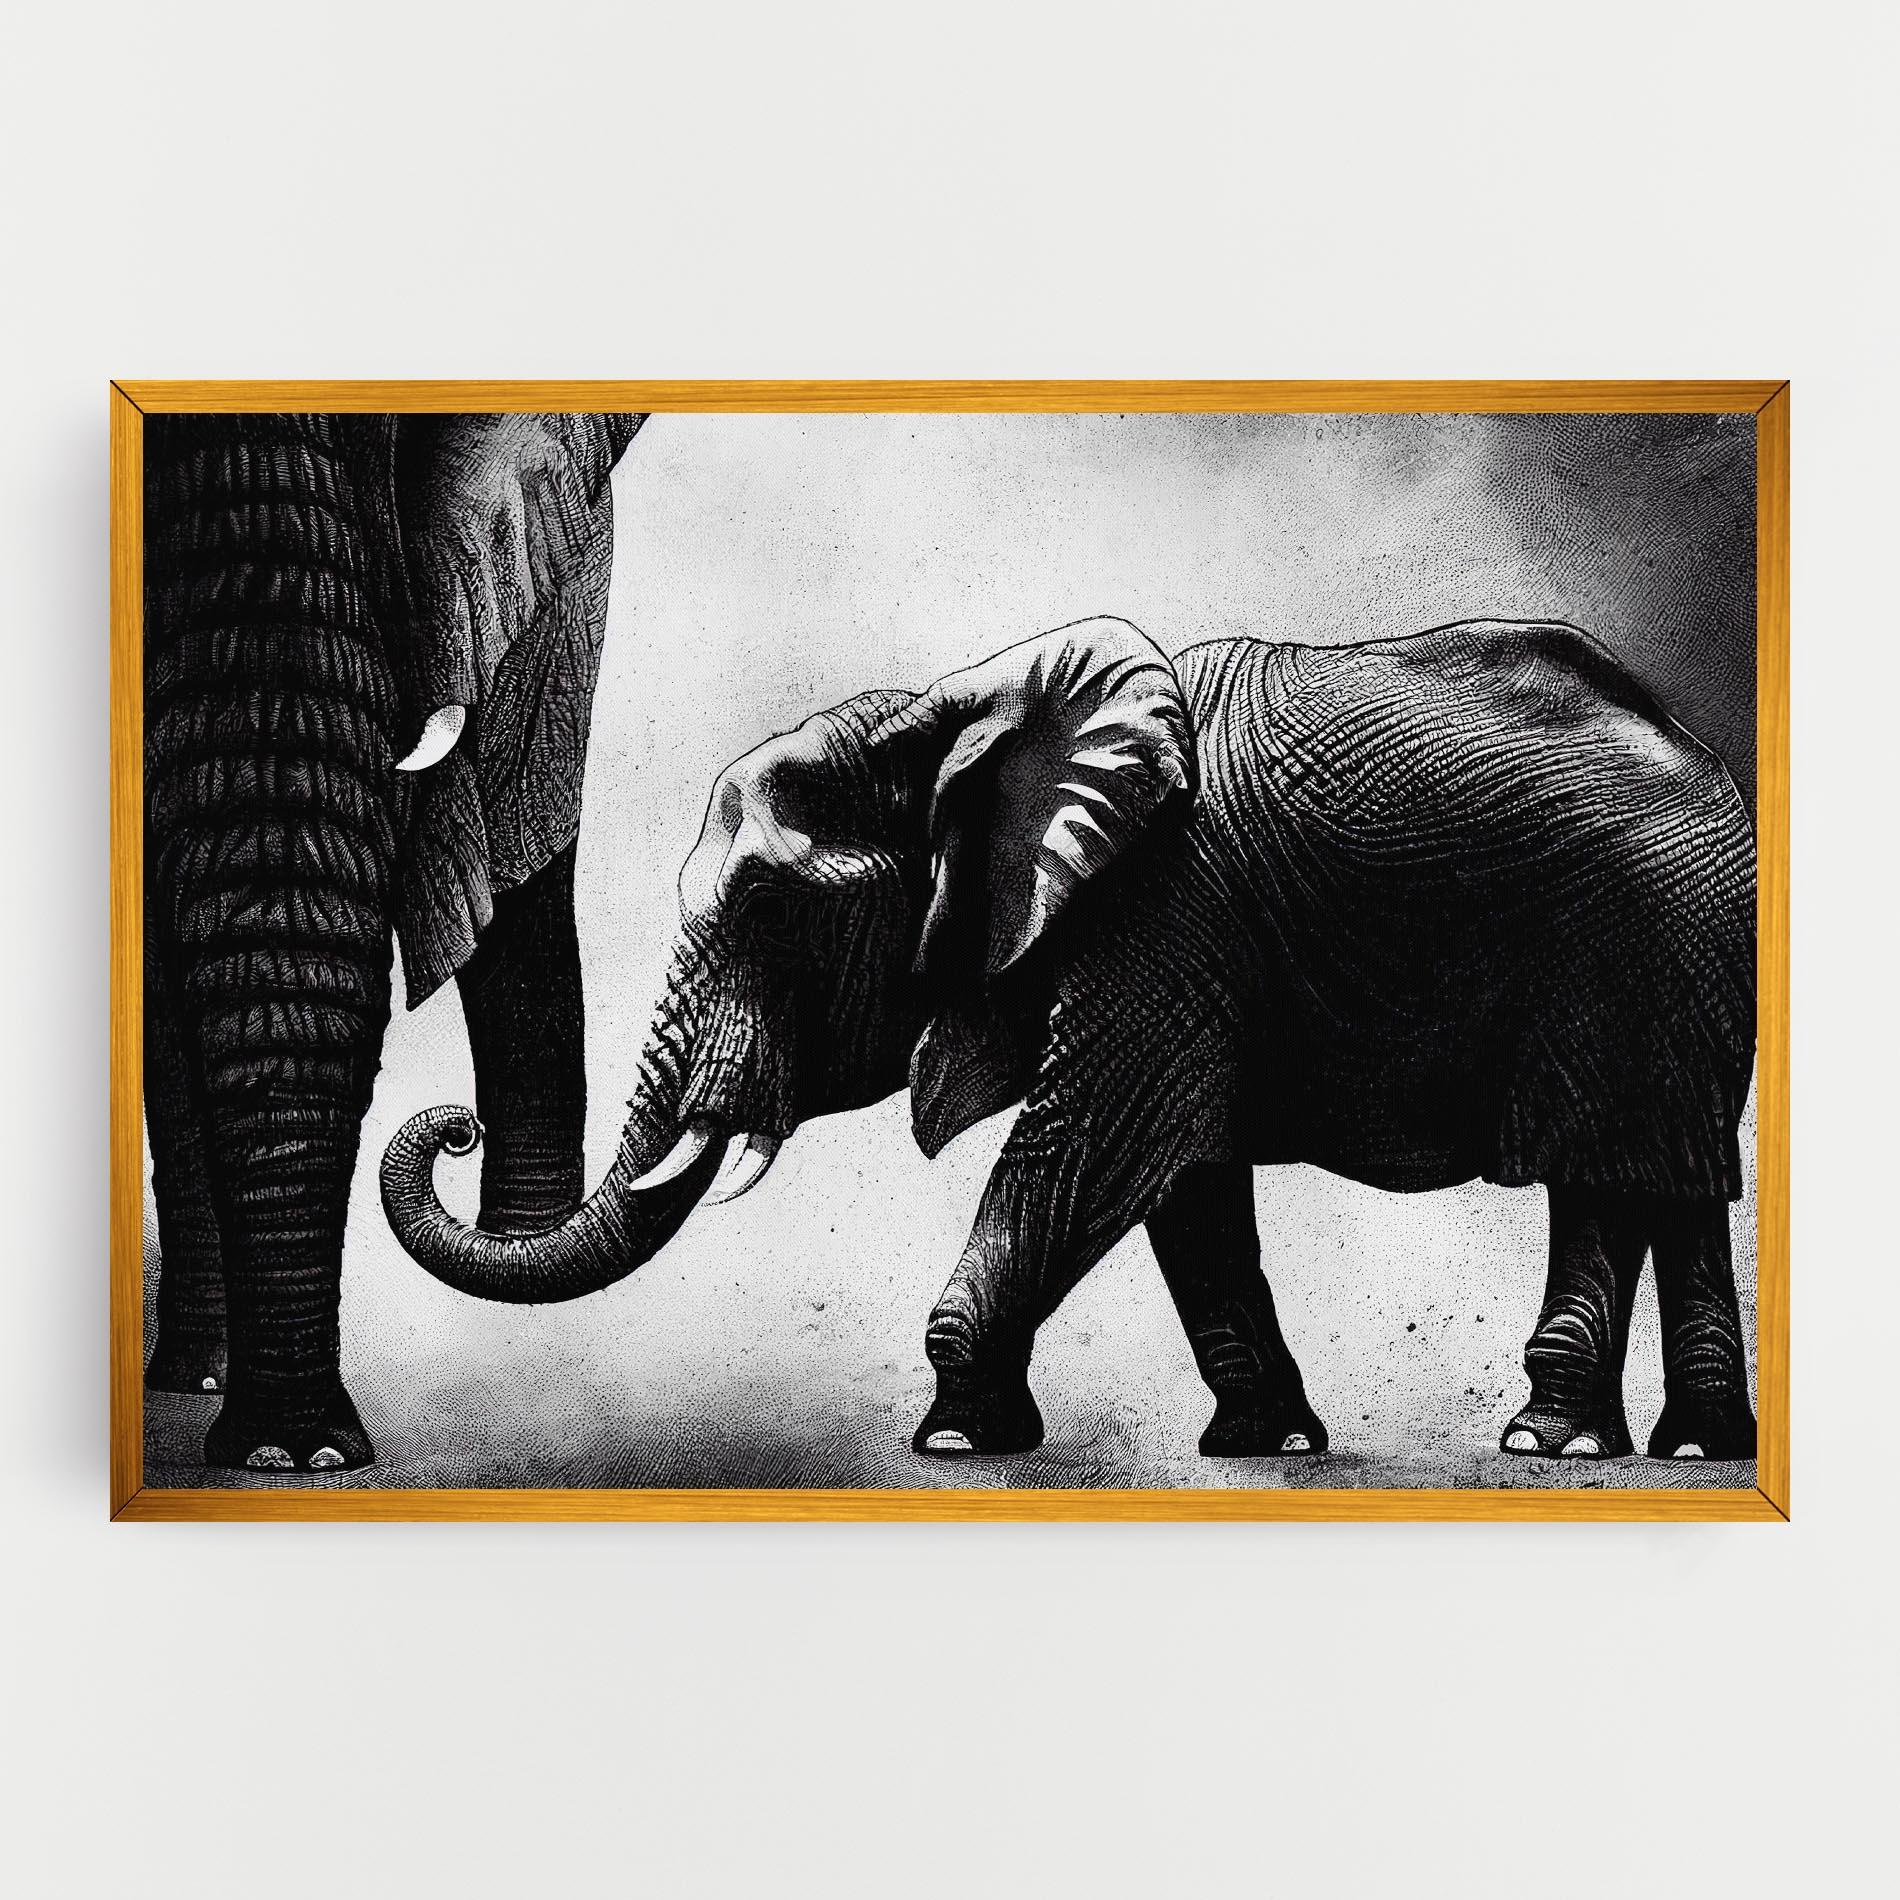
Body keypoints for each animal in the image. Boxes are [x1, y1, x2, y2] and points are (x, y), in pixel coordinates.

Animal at [381, 614, 1757, 1465]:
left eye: (767, 904)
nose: (452, 1126)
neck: (952, 712)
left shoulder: (1164, 916)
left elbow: (1094, 1145)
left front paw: (950, 1437)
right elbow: (1187, 1192)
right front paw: (1263, 1445)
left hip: (1633, 953)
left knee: (1599, 1178)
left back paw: (1545, 1441)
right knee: (1670, 1187)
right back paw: (1692, 1446)